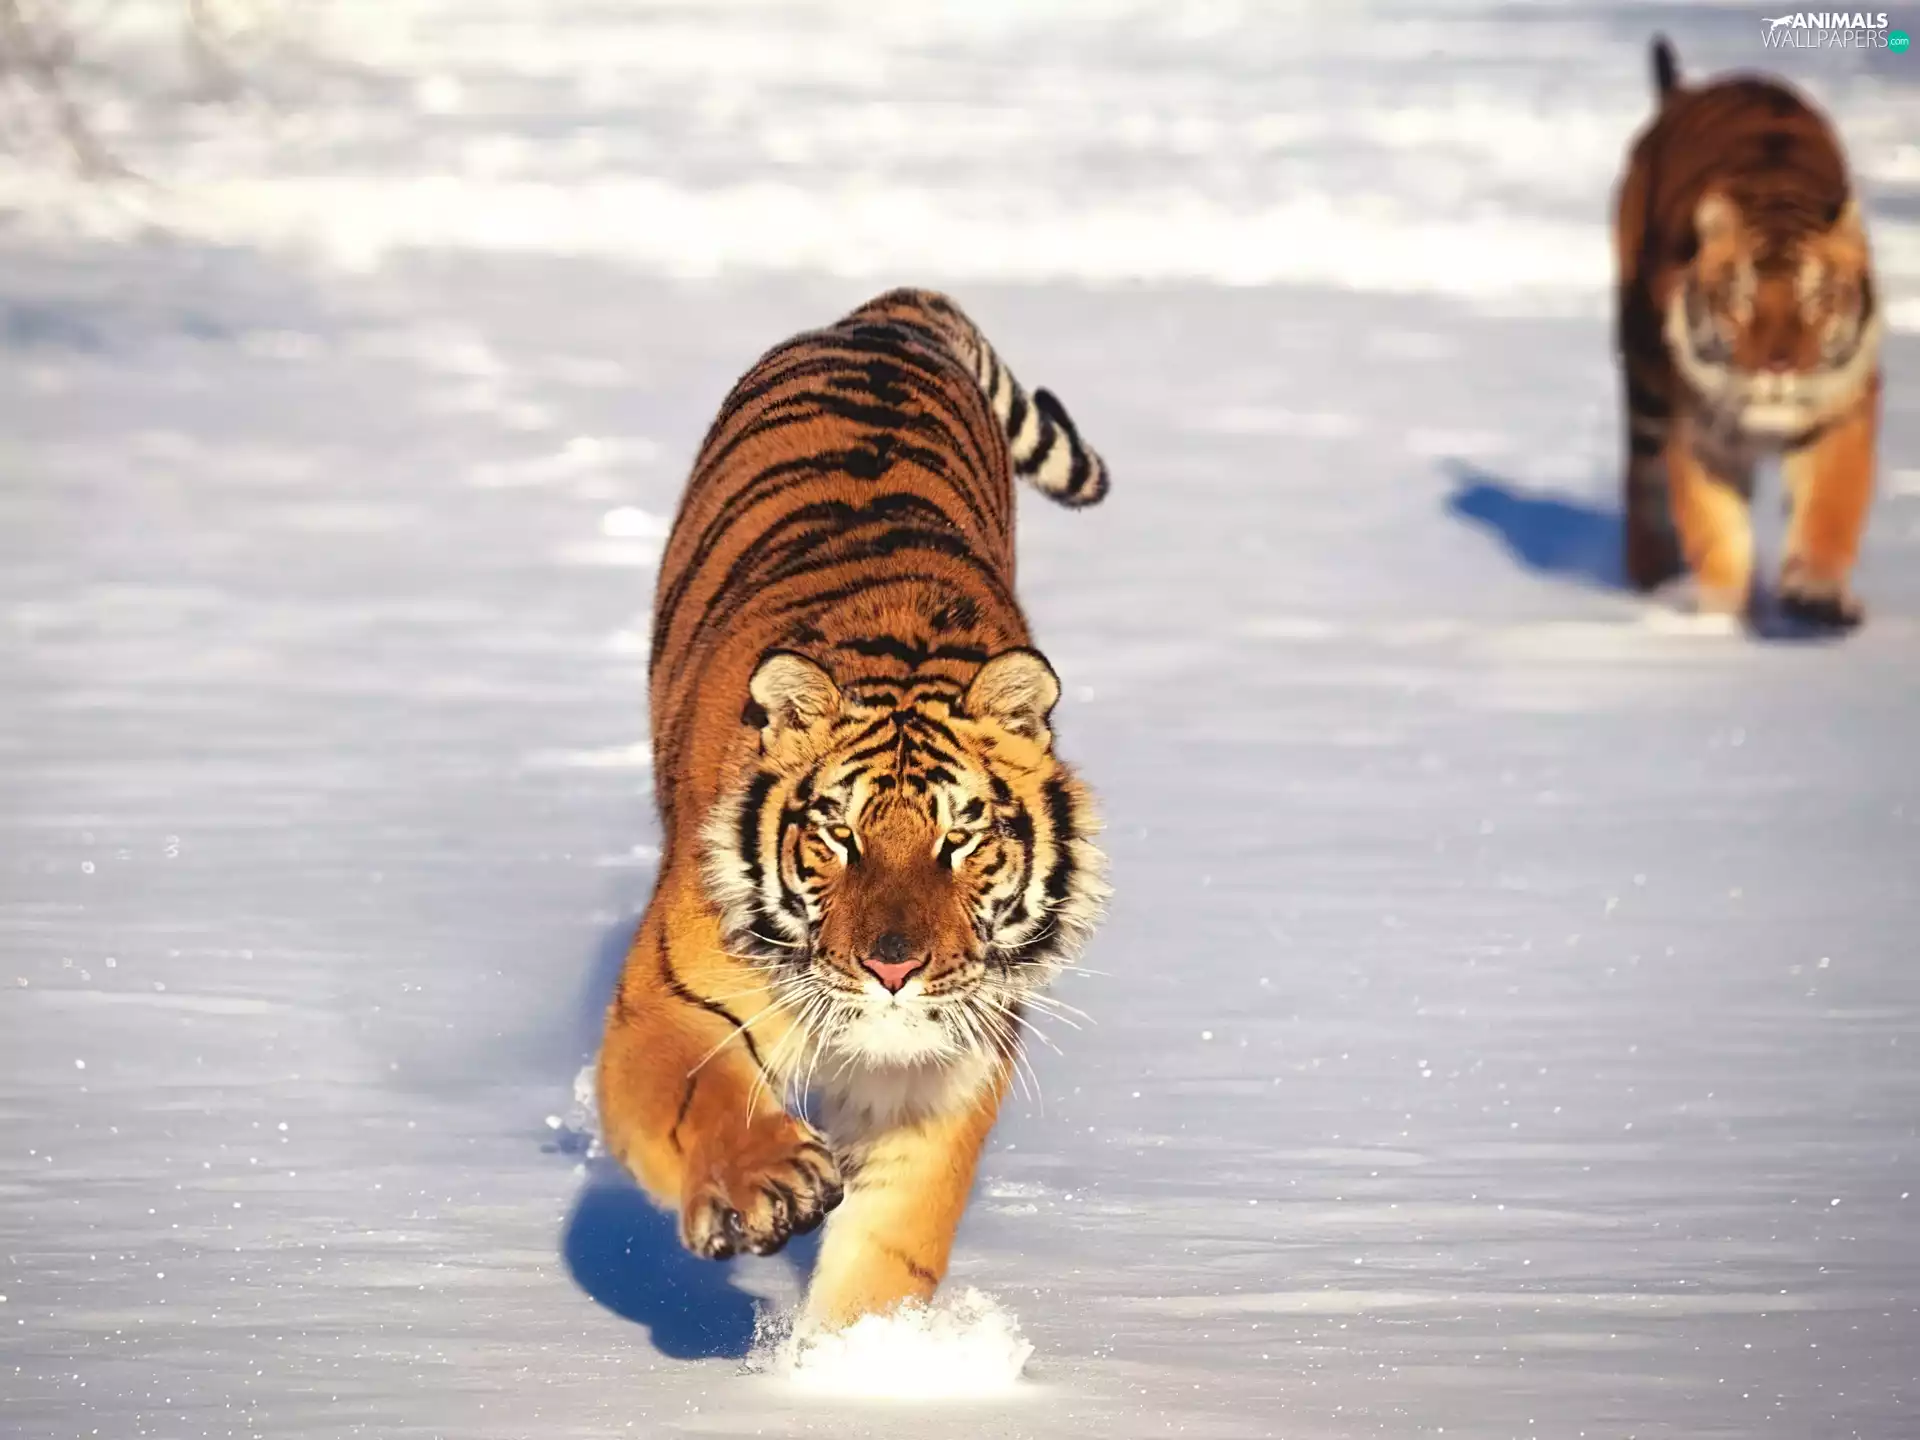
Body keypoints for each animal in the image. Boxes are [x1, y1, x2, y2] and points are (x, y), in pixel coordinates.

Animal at [596, 288, 1109, 1334]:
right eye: (838, 835)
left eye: (962, 838)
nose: (893, 970)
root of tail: (888, 308)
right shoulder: (664, 1008)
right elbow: (697, 1095)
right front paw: (764, 1185)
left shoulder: (945, 1067)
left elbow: (890, 1251)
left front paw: (857, 1360)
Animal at [1614, 36, 1882, 628]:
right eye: (1741, 300)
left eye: (1817, 299)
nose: (1777, 367)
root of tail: (1686, 92)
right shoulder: (1699, 435)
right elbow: (1716, 533)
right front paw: (1720, 621)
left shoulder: (1841, 416)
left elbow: (1831, 506)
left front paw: (1816, 593)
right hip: (1645, 381)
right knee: (1641, 476)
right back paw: (1649, 578)